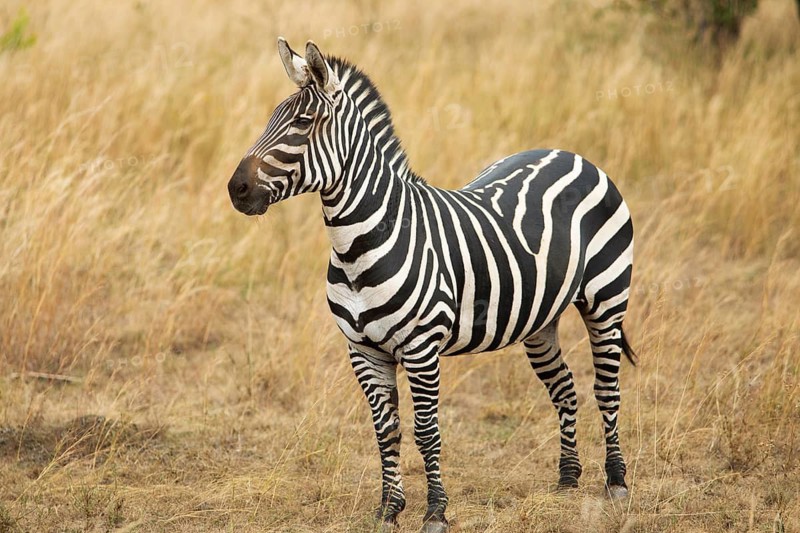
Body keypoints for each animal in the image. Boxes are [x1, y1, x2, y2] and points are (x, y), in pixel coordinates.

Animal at [227, 38, 637, 533]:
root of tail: (573, 155)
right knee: (564, 388)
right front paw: (388, 508)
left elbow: (426, 430)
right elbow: (386, 431)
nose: (236, 189)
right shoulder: (362, 350)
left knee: (606, 389)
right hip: (540, 320)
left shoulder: (421, 348)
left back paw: (615, 481)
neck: (356, 247)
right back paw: (567, 479)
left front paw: (436, 511)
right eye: (272, 117)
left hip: (606, 300)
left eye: (303, 123)